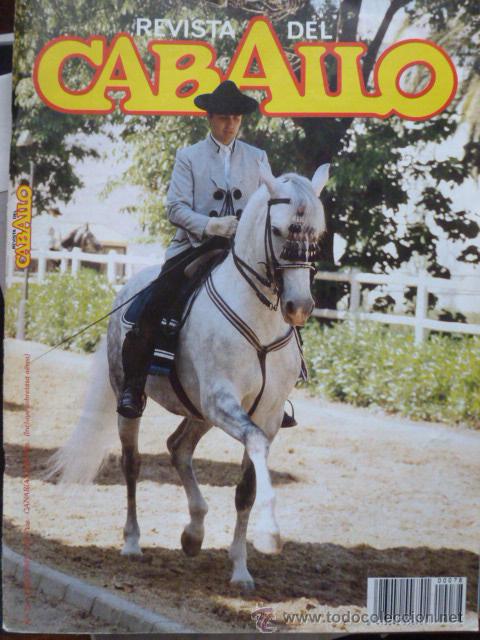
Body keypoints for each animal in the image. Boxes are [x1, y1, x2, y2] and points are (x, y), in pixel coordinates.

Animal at [49, 163, 329, 589]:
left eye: (317, 234)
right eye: (280, 230)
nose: (300, 307)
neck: (259, 320)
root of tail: (128, 290)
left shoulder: (265, 414)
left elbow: (246, 487)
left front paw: (240, 569)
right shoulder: (222, 401)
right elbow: (254, 448)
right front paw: (270, 534)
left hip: (199, 413)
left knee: (178, 446)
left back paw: (193, 533)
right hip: (134, 400)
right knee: (133, 464)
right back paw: (132, 542)